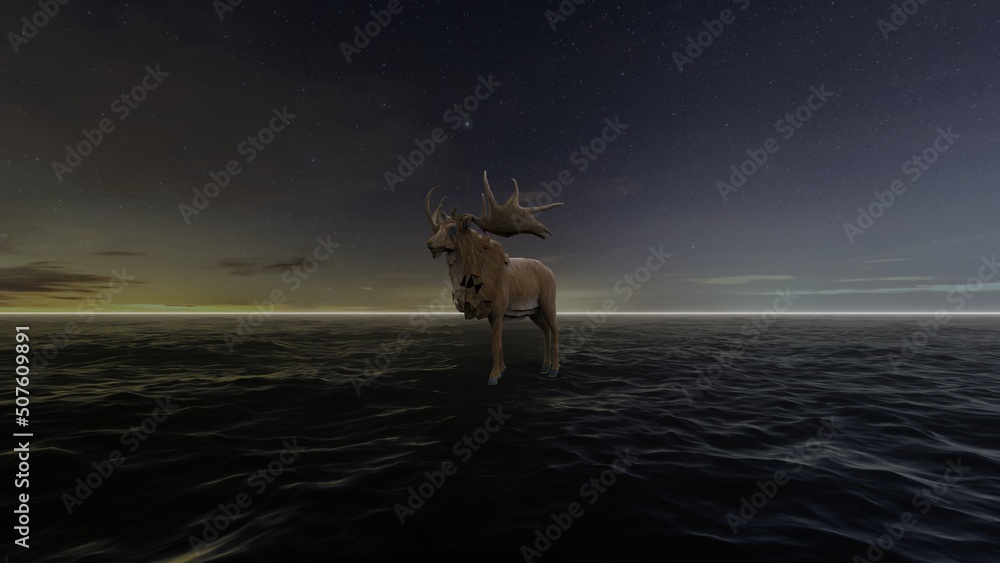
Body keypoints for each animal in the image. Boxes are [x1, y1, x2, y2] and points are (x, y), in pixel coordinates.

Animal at [425, 171, 563, 385]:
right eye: (438, 227)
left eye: (452, 229)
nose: (430, 244)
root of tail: (550, 271)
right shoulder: (491, 314)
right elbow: (499, 344)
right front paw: (502, 369)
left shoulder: (497, 312)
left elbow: (495, 343)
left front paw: (493, 376)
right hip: (534, 310)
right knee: (545, 330)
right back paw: (544, 367)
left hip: (548, 302)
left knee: (555, 329)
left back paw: (554, 370)